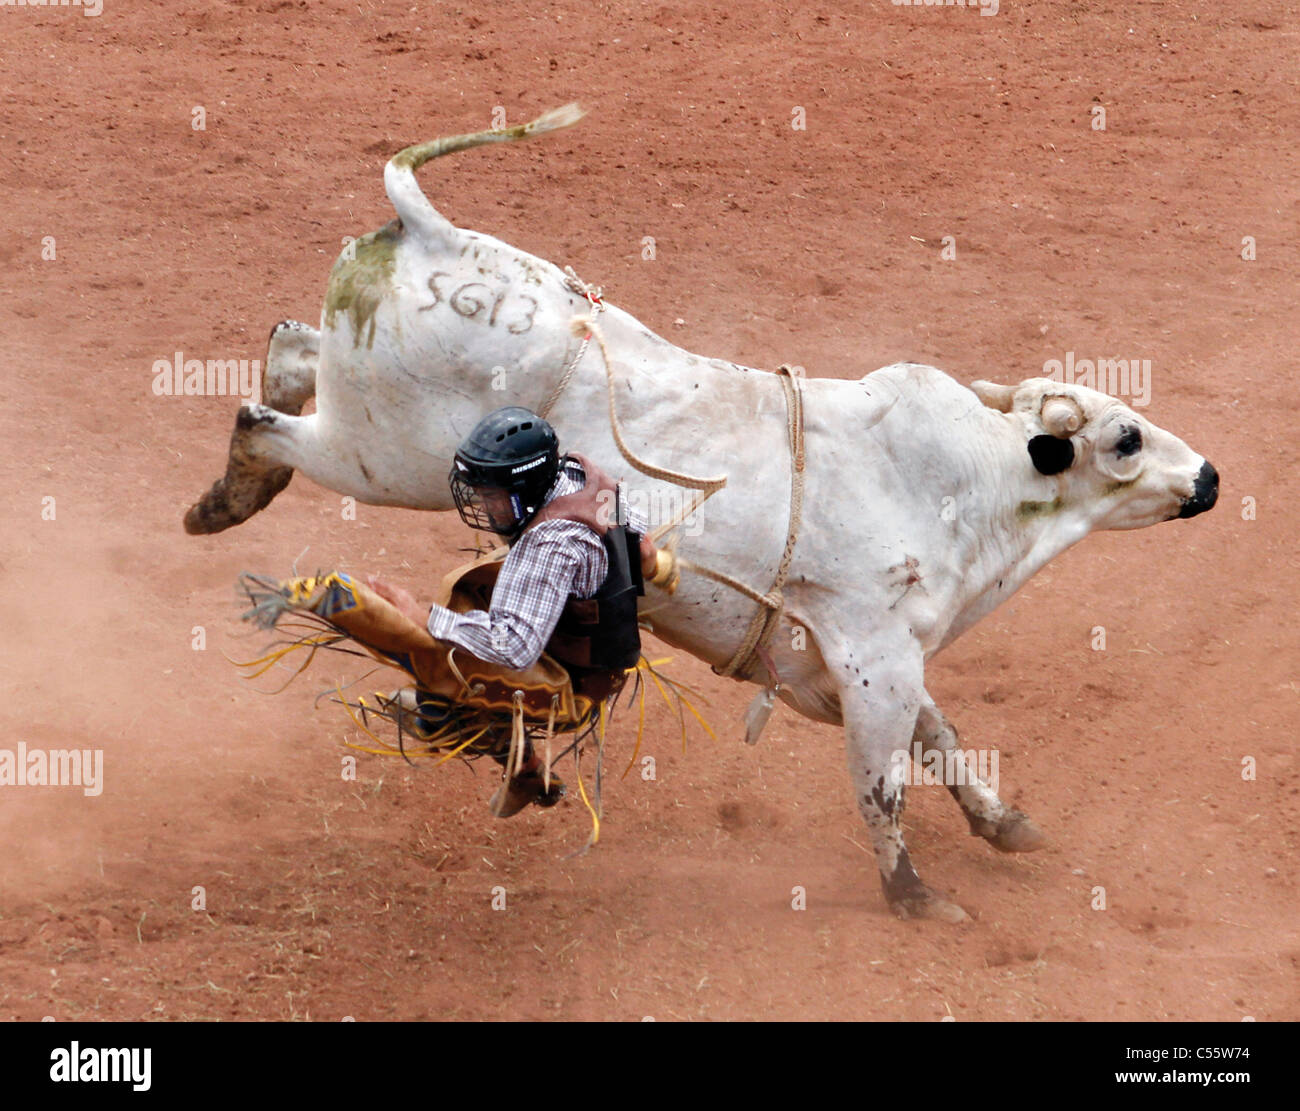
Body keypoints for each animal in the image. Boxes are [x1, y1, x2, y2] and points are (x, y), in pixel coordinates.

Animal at [184, 106, 1218, 921]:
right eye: (1126, 437)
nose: (1207, 476)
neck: (959, 481)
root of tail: (430, 231)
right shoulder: (874, 661)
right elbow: (883, 785)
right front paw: (914, 895)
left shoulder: (889, 662)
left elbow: (946, 741)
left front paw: (1004, 824)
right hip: (379, 455)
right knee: (265, 421)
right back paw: (225, 502)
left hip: (359, 410)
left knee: (287, 346)